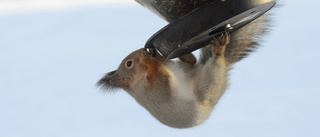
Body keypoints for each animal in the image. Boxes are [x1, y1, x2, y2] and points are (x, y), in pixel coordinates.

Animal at [97, 13, 272, 128]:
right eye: (129, 64)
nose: (142, 51)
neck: (140, 79)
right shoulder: (153, 90)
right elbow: (162, 79)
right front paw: (148, 59)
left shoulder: (170, 68)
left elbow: (166, 63)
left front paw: (153, 54)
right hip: (210, 82)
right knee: (215, 63)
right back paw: (219, 50)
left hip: (187, 71)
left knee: (191, 62)